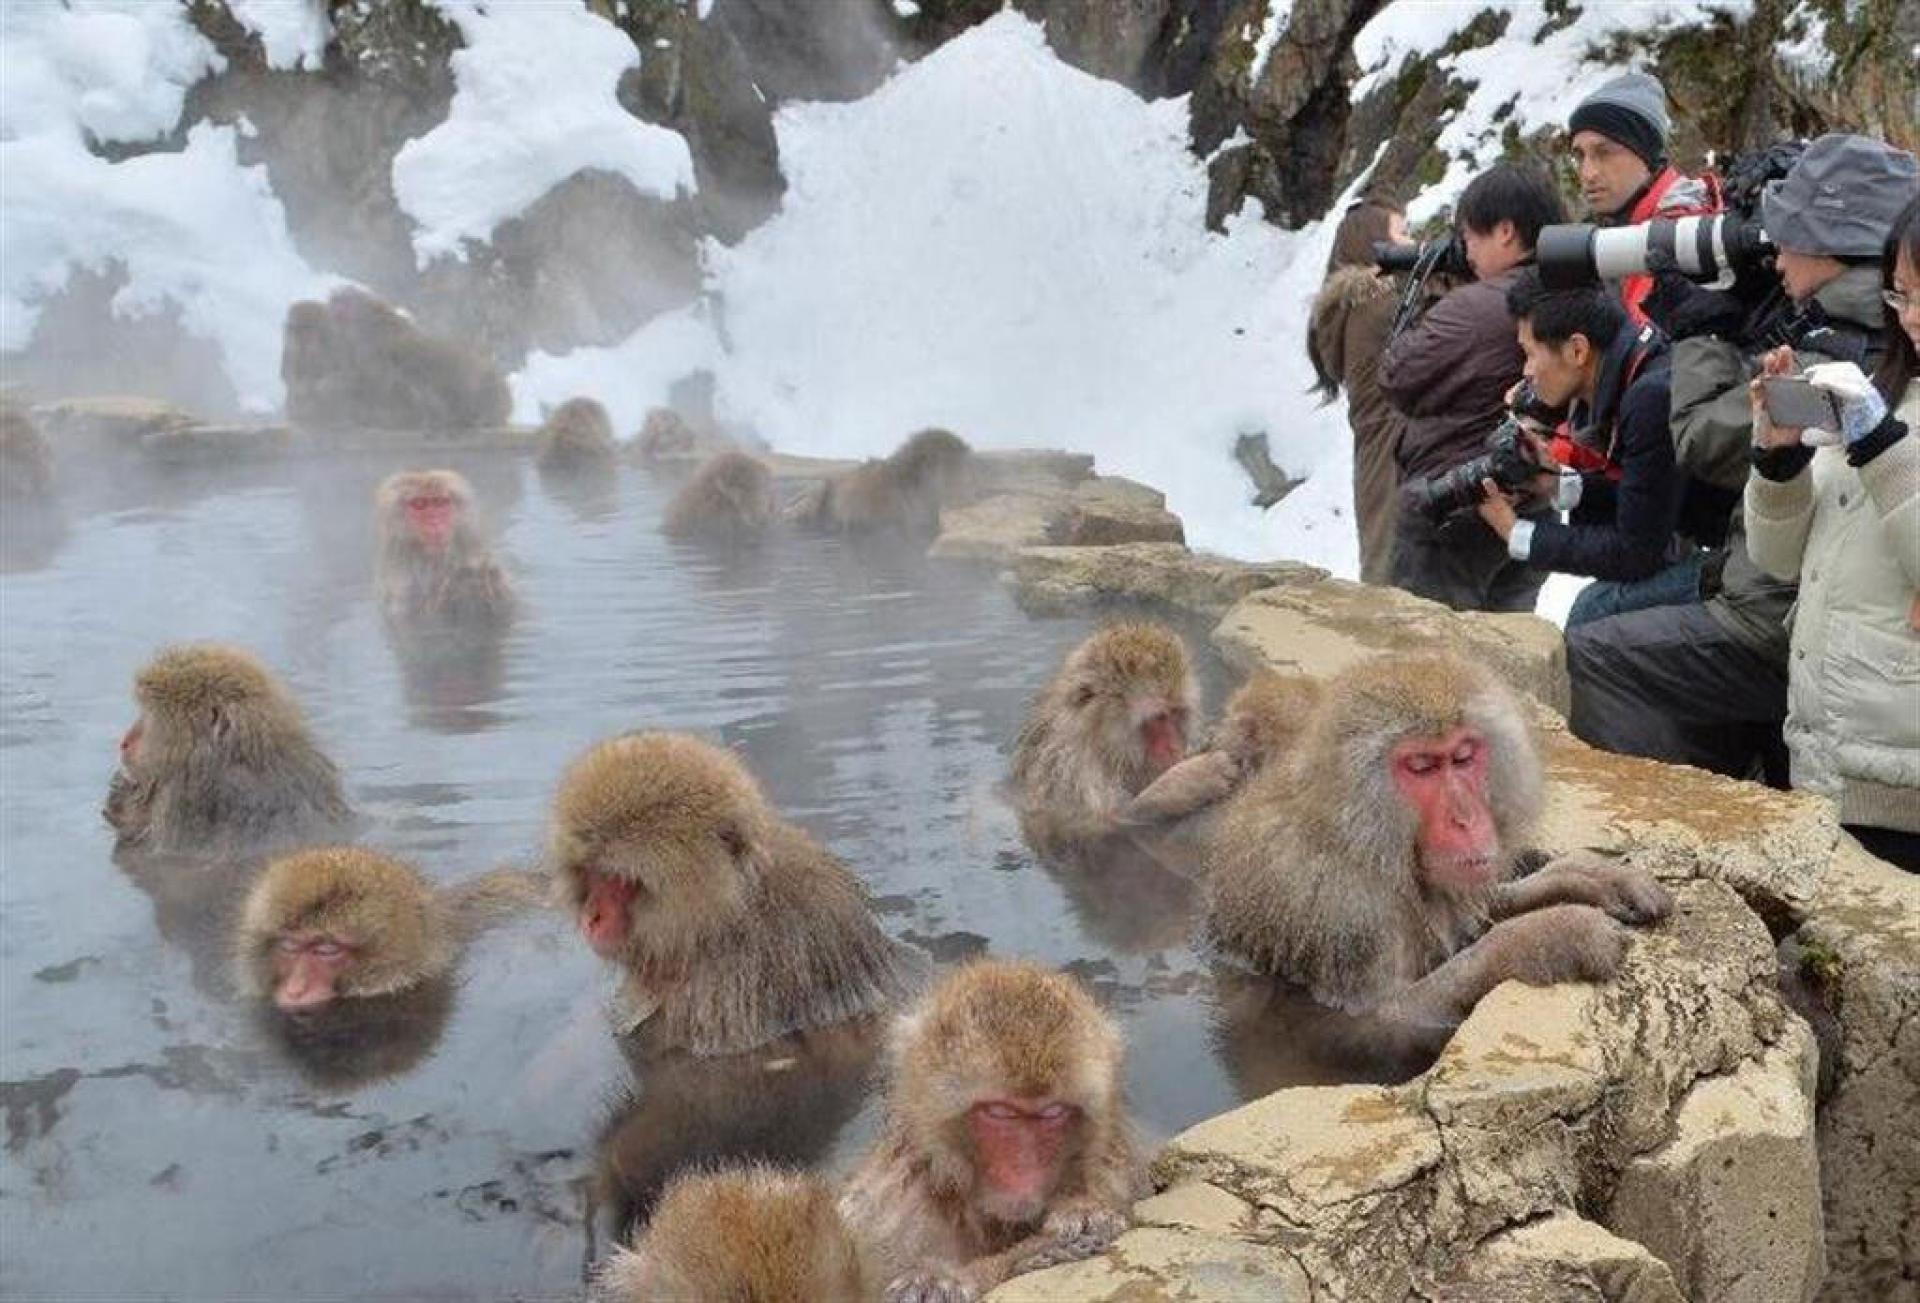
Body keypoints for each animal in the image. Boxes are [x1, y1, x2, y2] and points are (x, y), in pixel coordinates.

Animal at [839, 960, 1142, 1302]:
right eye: (999, 1112)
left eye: (1052, 1112)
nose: (1023, 1169)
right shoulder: (884, 1217)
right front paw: (939, 1282)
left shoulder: (1115, 1175)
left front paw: (1082, 1217)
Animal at [1009, 622, 1198, 855]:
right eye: (1159, 718)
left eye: (1176, 713)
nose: (1174, 746)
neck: (1101, 750)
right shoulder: (1072, 774)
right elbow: (1094, 825)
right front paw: (1184, 784)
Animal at [1202, 652, 1673, 1048]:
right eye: (1423, 767)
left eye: (1463, 757)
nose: (1465, 818)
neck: (1362, 839)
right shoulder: (1339, 908)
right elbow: (1376, 1021)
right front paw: (1549, 936)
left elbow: (1480, 910)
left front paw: (1592, 876)